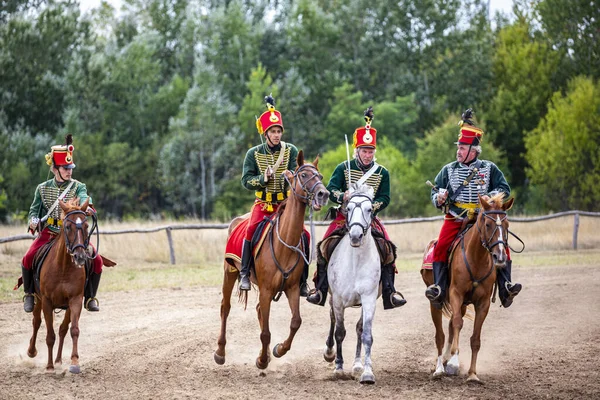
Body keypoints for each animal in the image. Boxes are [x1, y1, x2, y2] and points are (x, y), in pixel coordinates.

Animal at [27, 198, 96, 374]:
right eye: (67, 227)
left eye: (86, 226)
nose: (80, 256)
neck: (63, 267)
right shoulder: (46, 301)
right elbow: (49, 335)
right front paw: (49, 366)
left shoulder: (75, 300)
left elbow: (73, 330)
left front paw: (74, 362)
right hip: (38, 299)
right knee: (36, 322)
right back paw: (32, 351)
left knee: (63, 329)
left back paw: (58, 360)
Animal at [214, 151, 330, 368]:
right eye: (304, 175)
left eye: (319, 176)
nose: (323, 194)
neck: (284, 243)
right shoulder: (266, 290)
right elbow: (266, 333)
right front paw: (262, 360)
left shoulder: (292, 289)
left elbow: (296, 322)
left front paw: (278, 350)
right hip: (230, 272)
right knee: (225, 308)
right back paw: (220, 352)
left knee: (259, 311)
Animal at [324, 183, 380, 382]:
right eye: (347, 208)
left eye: (369, 209)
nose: (355, 236)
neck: (356, 262)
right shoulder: (338, 300)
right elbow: (339, 332)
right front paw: (339, 368)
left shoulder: (369, 299)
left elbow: (366, 334)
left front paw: (367, 372)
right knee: (333, 321)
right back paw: (329, 352)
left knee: (358, 329)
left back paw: (356, 365)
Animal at [420, 194, 512, 384]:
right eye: (488, 224)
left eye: (507, 225)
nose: (499, 257)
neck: (476, 259)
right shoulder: (456, 294)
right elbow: (457, 323)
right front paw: (454, 362)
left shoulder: (483, 303)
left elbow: (475, 338)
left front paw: (472, 374)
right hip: (436, 303)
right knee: (440, 335)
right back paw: (439, 368)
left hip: (462, 305)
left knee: (449, 328)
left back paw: (445, 361)